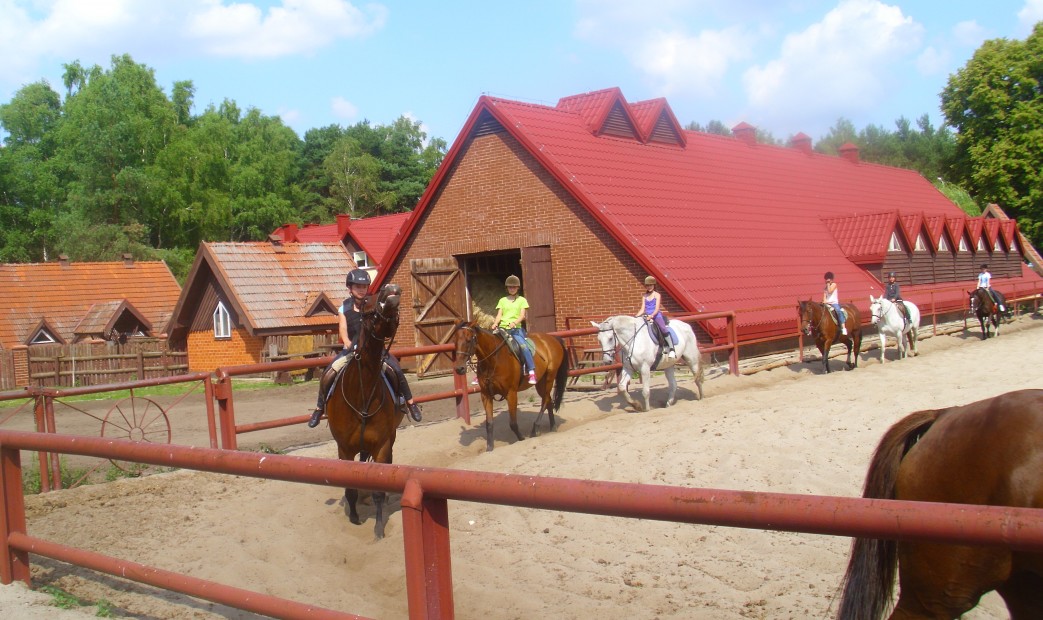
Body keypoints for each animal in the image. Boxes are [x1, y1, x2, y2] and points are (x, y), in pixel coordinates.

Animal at [327, 281, 404, 538]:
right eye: (367, 305)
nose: (393, 290)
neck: (361, 394)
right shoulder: (344, 448)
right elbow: (351, 488)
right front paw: (353, 517)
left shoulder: (381, 444)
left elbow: (379, 489)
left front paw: (379, 528)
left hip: (390, 437)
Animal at [452, 319, 571, 448]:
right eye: (455, 341)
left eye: (469, 340)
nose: (459, 368)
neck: (493, 360)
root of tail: (553, 338)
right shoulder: (485, 395)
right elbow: (489, 424)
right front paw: (489, 448)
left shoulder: (511, 393)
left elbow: (513, 423)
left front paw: (522, 439)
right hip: (541, 382)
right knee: (548, 400)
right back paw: (552, 427)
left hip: (550, 377)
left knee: (545, 401)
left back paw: (535, 430)